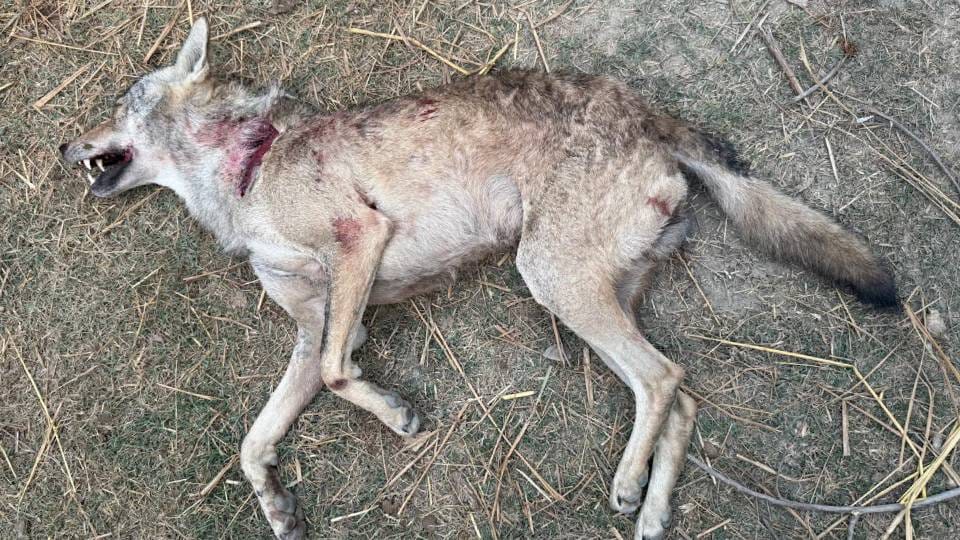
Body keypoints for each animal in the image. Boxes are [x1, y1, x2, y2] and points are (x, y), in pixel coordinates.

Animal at [59, 18, 896, 540]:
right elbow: (252, 440)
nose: (66, 145)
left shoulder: (357, 248)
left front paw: (398, 416)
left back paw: (628, 486)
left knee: (664, 378)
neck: (243, 168)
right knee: (681, 393)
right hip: (600, 291)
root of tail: (648, 113)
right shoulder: (315, 325)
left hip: (553, 279)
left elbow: (337, 374)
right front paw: (277, 507)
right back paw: (654, 511)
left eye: (122, 102)